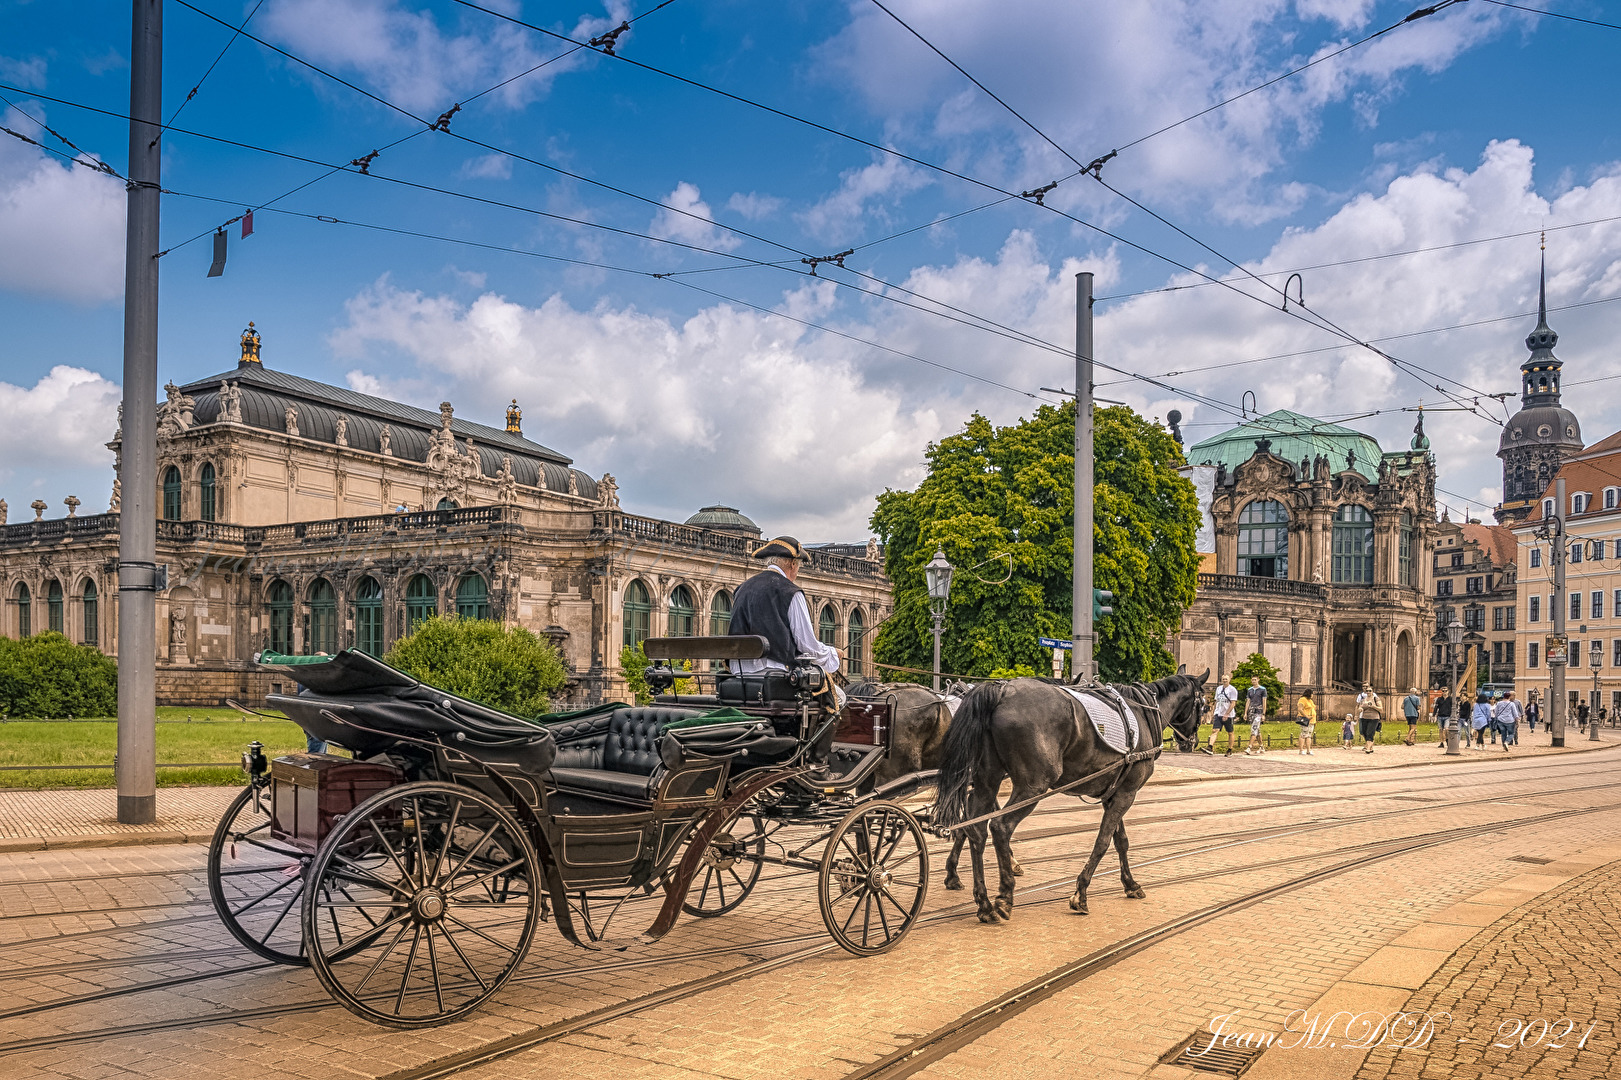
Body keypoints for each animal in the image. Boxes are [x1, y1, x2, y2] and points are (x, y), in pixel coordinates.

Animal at [933, 668, 1212, 921]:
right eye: (1204, 705)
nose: (1191, 742)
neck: (1143, 714)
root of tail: (1002, 691)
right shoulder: (1126, 794)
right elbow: (1102, 842)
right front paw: (1081, 892)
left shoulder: (1115, 794)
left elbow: (1120, 841)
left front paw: (1131, 884)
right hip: (1033, 787)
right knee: (1000, 827)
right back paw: (1004, 896)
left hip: (986, 780)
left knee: (975, 830)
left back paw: (984, 903)